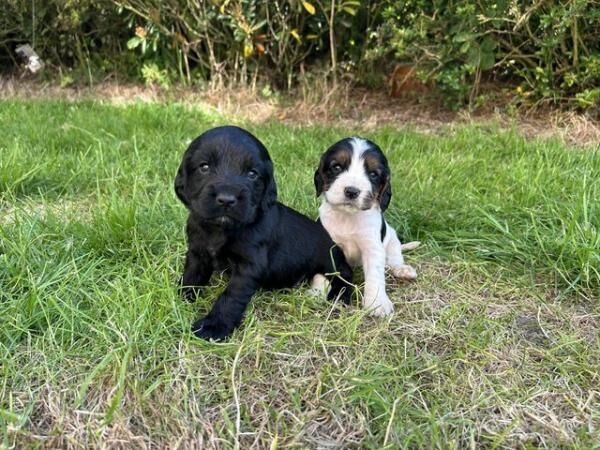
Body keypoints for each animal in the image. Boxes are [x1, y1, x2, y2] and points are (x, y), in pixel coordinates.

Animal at [173, 125, 352, 340]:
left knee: (346, 274)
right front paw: (182, 297)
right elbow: (192, 275)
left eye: (252, 174)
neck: (221, 229)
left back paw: (339, 295)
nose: (226, 199)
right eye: (204, 167)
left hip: (330, 260)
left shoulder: (249, 266)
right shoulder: (197, 251)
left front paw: (215, 326)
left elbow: (230, 297)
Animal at [314, 137, 418, 316]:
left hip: (392, 239)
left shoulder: (372, 247)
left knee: (394, 259)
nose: (351, 191)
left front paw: (377, 303)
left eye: (373, 174)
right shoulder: (328, 244)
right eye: (337, 167)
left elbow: (375, 275)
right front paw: (318, 289)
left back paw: (402, 270)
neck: (348, 217)